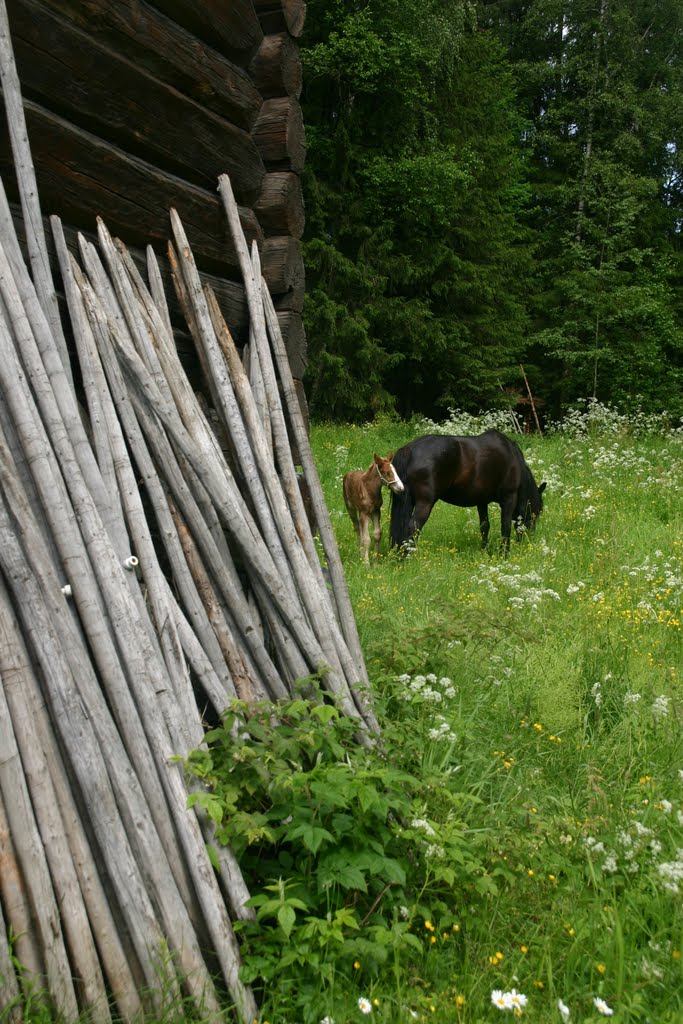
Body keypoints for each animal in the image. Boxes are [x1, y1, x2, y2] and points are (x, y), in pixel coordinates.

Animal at [389, 430, 544, 552]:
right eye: (536, 512)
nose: (527, 540)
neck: (512, 455)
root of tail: (409, 450)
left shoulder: (482, 502)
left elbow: (484, 526)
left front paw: (484, 550)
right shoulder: (509, 498)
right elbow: (505, 528)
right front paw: (504, 554)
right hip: (425, 503)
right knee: (412, 528)